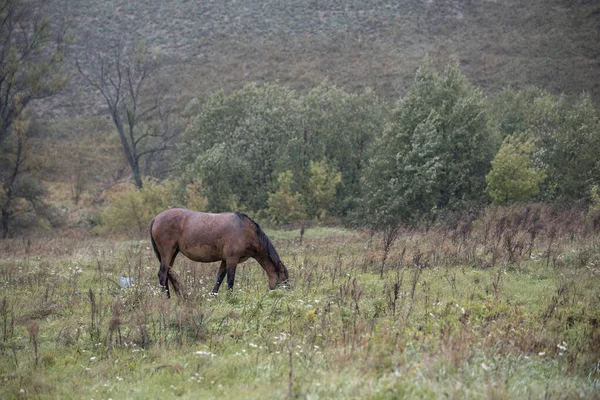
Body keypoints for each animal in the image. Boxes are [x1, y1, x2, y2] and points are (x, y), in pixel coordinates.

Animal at [150, 209, 290, 296]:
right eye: (285, 280)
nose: (288, 295)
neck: (245, 230)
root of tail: (155, 218)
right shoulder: (232, 259)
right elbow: (230, 280)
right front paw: (230, 298)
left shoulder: (225, 259)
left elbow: (219, 278)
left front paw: (213, 296)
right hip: (167, 252)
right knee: (162, 274)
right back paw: (167, 298)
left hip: (173, 253)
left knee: (167, 274)